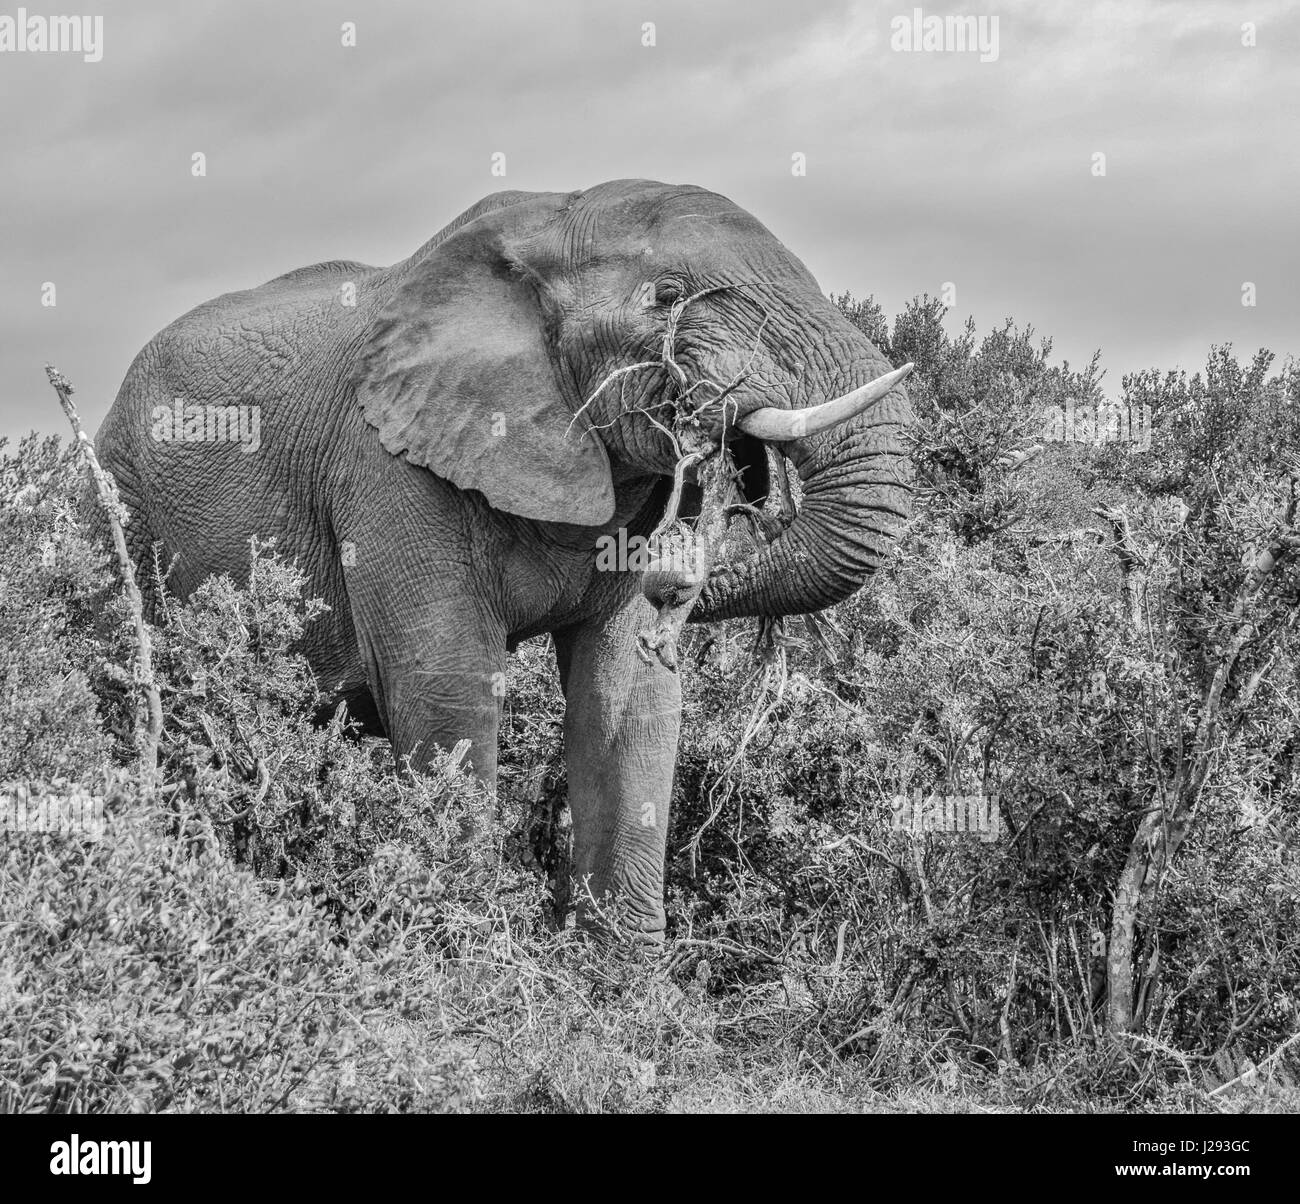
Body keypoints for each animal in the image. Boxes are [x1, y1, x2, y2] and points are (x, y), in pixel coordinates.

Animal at [96, 179, 915, 936]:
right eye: (668, 295)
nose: (681, 589)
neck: (546, 225)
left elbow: (625, 693)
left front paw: (623, 985)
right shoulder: (387, 464)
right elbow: (447, 683)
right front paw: (463, 946)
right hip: (119, 498)